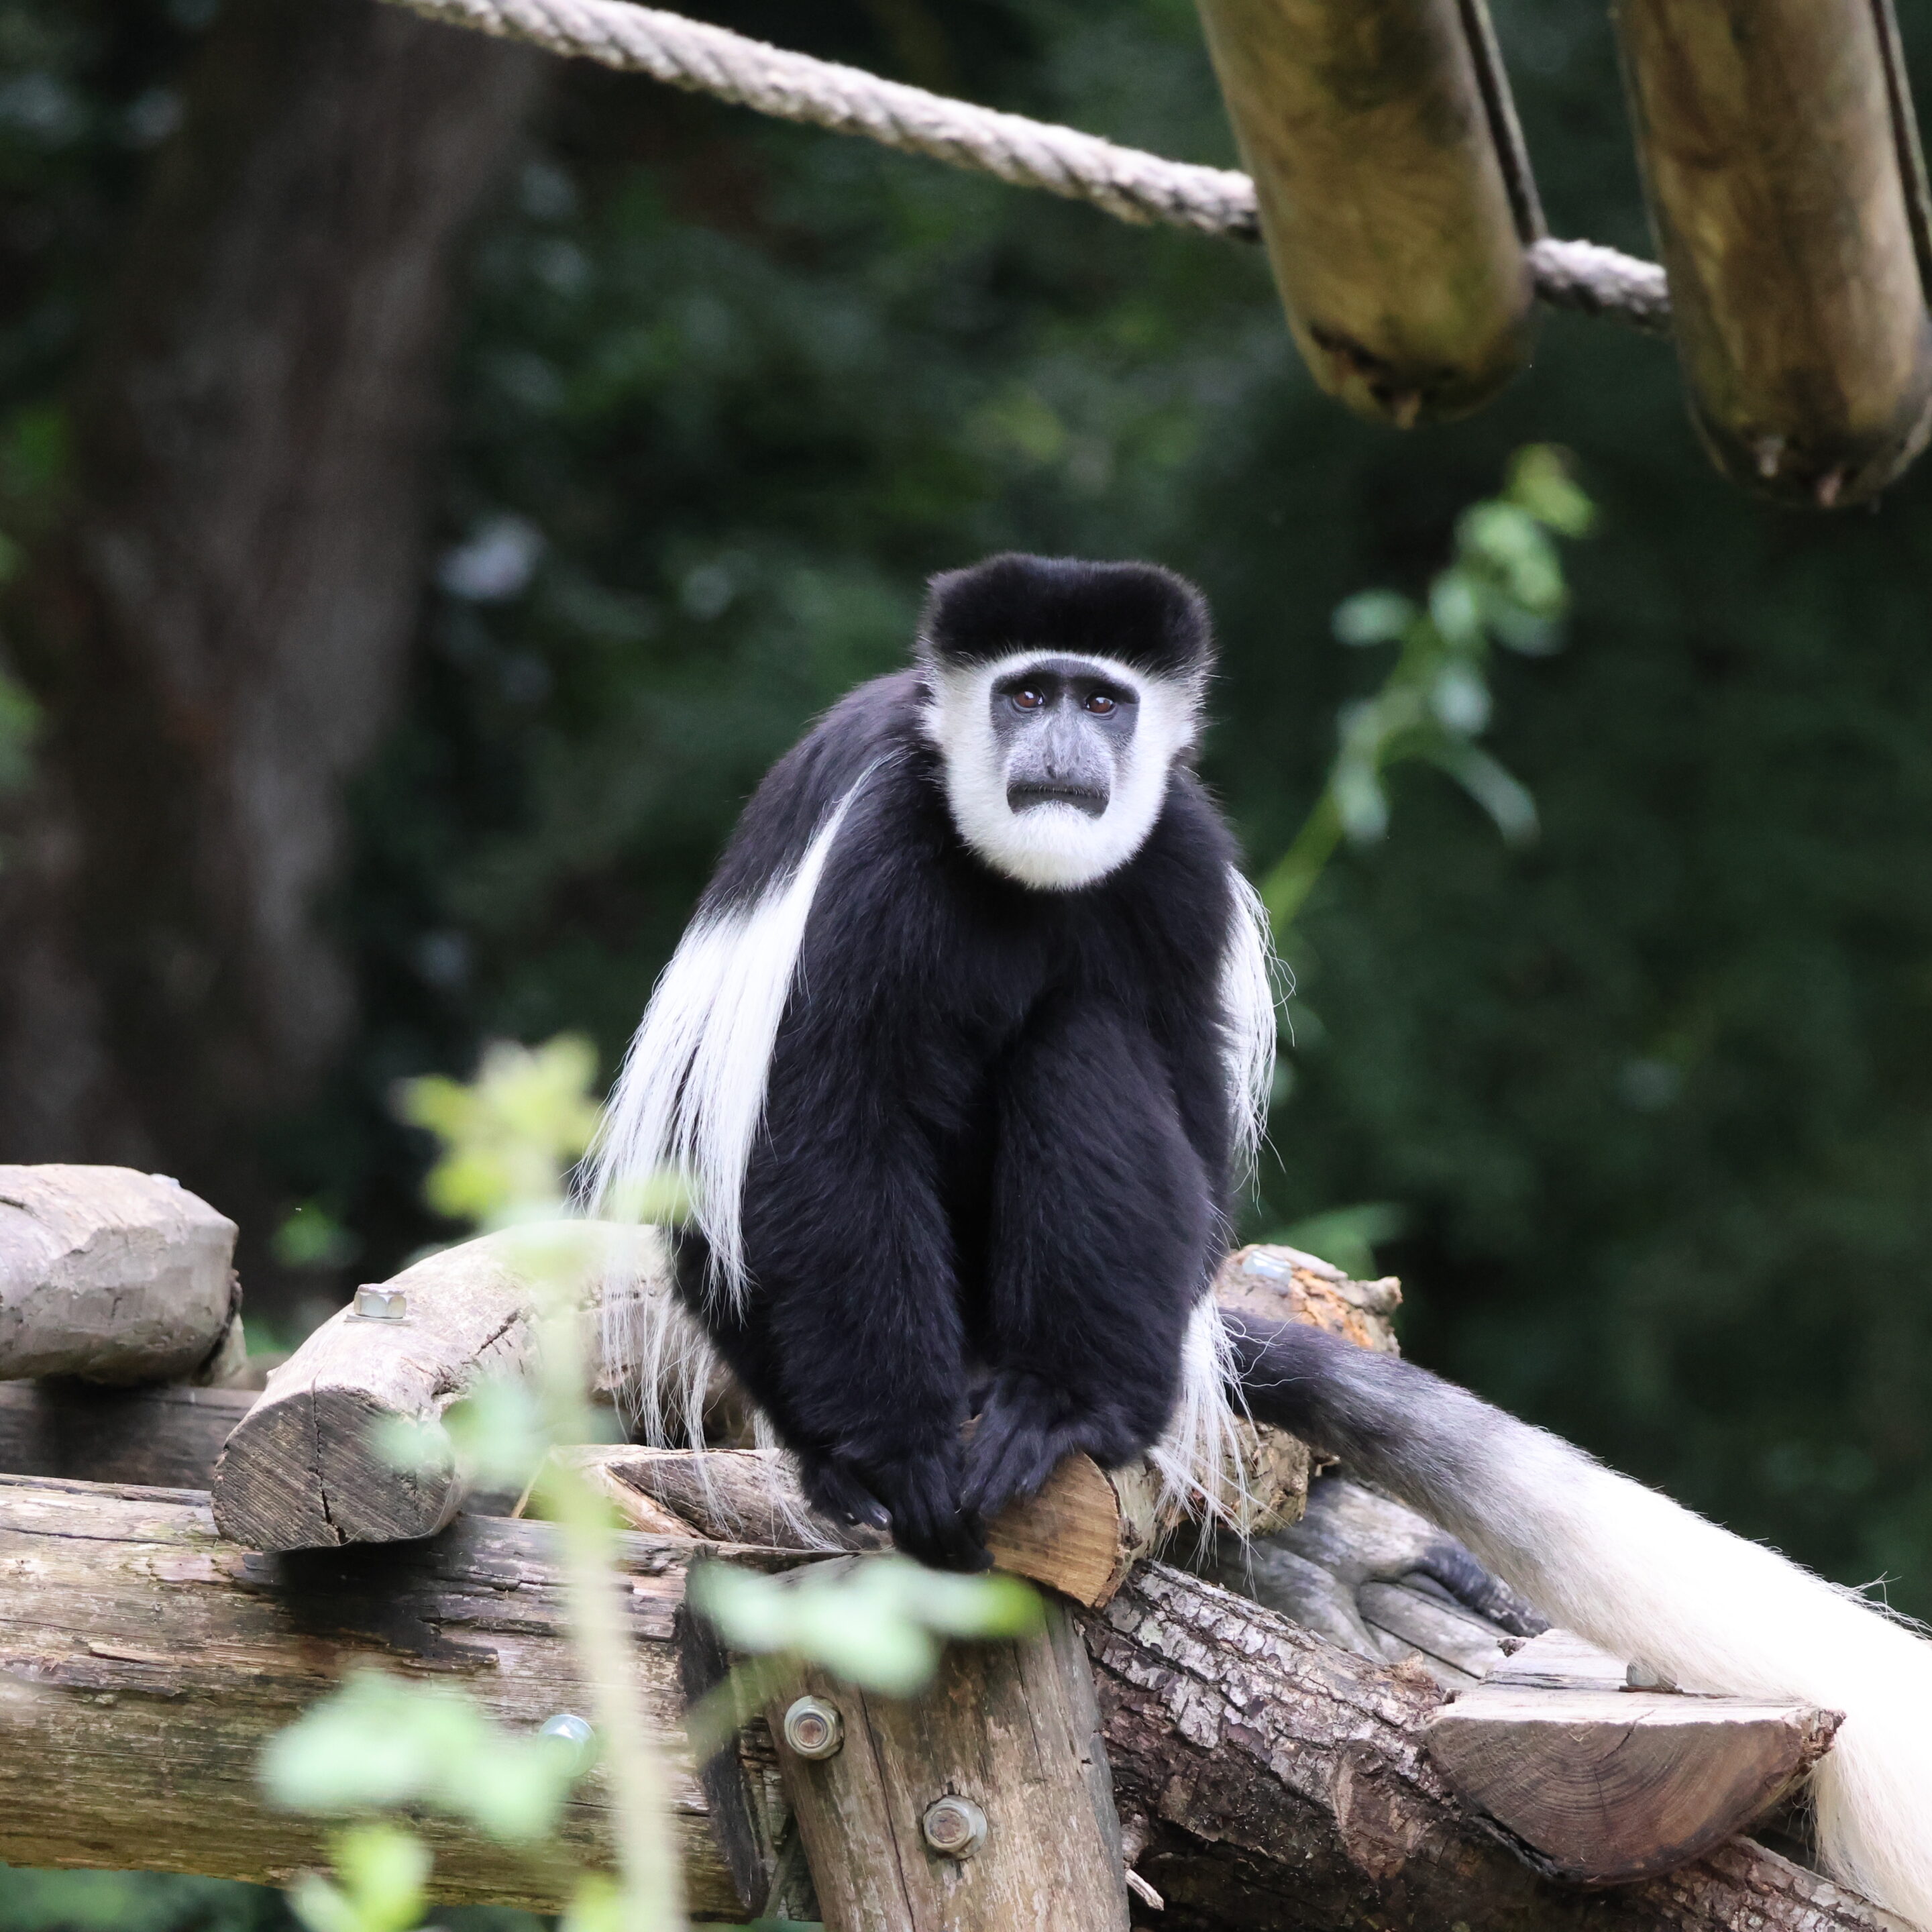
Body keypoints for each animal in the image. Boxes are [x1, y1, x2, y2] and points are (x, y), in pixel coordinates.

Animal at [589, 550, 1932, 1930]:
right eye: (1025, 693)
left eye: (1103, 700)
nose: (1065, 748)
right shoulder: (871, 854)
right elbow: (823, 1125)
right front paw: (901, 1462)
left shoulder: (1179, 860)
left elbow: (1179, 1099)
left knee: (1089, 1041)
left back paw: (1061, 1411)